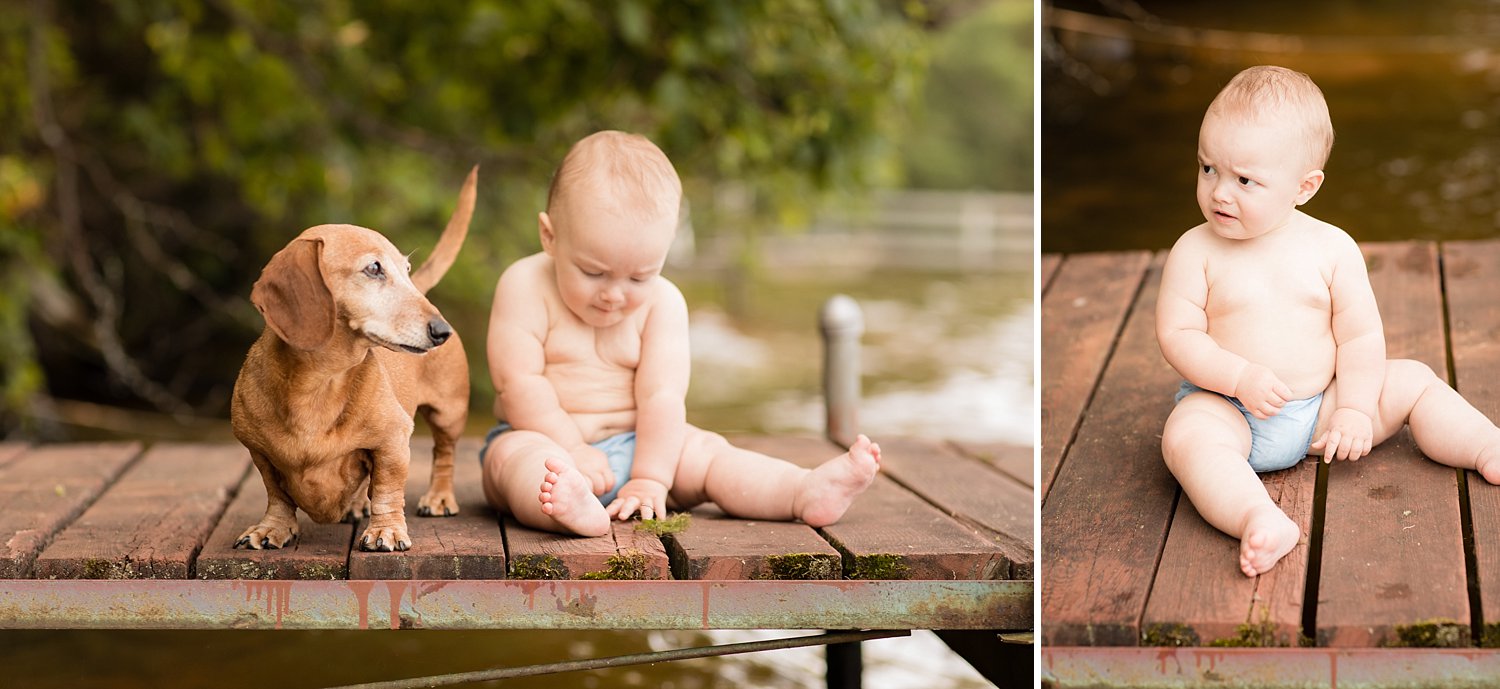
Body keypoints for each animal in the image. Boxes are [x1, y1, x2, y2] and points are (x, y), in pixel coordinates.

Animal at [231, 169, 474, 552]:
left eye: (406, 269)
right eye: (374, 268)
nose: (442, 331)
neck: (319, 383)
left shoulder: (392, 441)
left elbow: (387, 490)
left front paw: (386, 531)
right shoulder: (259, 452)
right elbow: (277, 495)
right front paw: (272, 529)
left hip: (448, 413)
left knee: (444, 455)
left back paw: (438, 498)